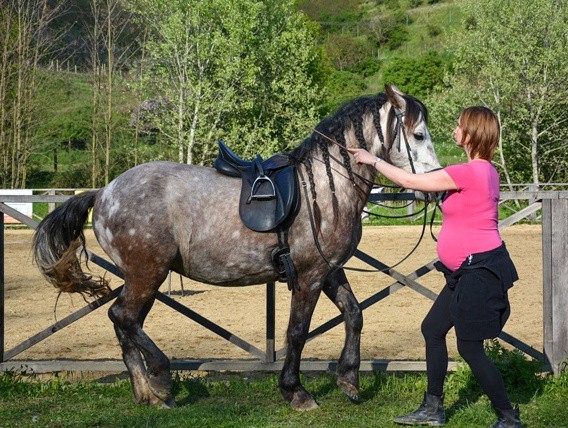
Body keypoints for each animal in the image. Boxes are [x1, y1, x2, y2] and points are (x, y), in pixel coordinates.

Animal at [33, 84, 442, 412]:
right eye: (419, 134)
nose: (438, 186)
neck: (324, 189)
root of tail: (103, 192)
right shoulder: (309, 276)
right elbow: (297, 332)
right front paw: (295, 392)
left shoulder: (329, 270)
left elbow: (354, 315)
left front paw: (349, 380)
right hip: (147, 273)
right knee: (124, 317)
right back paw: (161, 378)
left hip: (141, 278)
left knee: (124, 323)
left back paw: (147, 394)